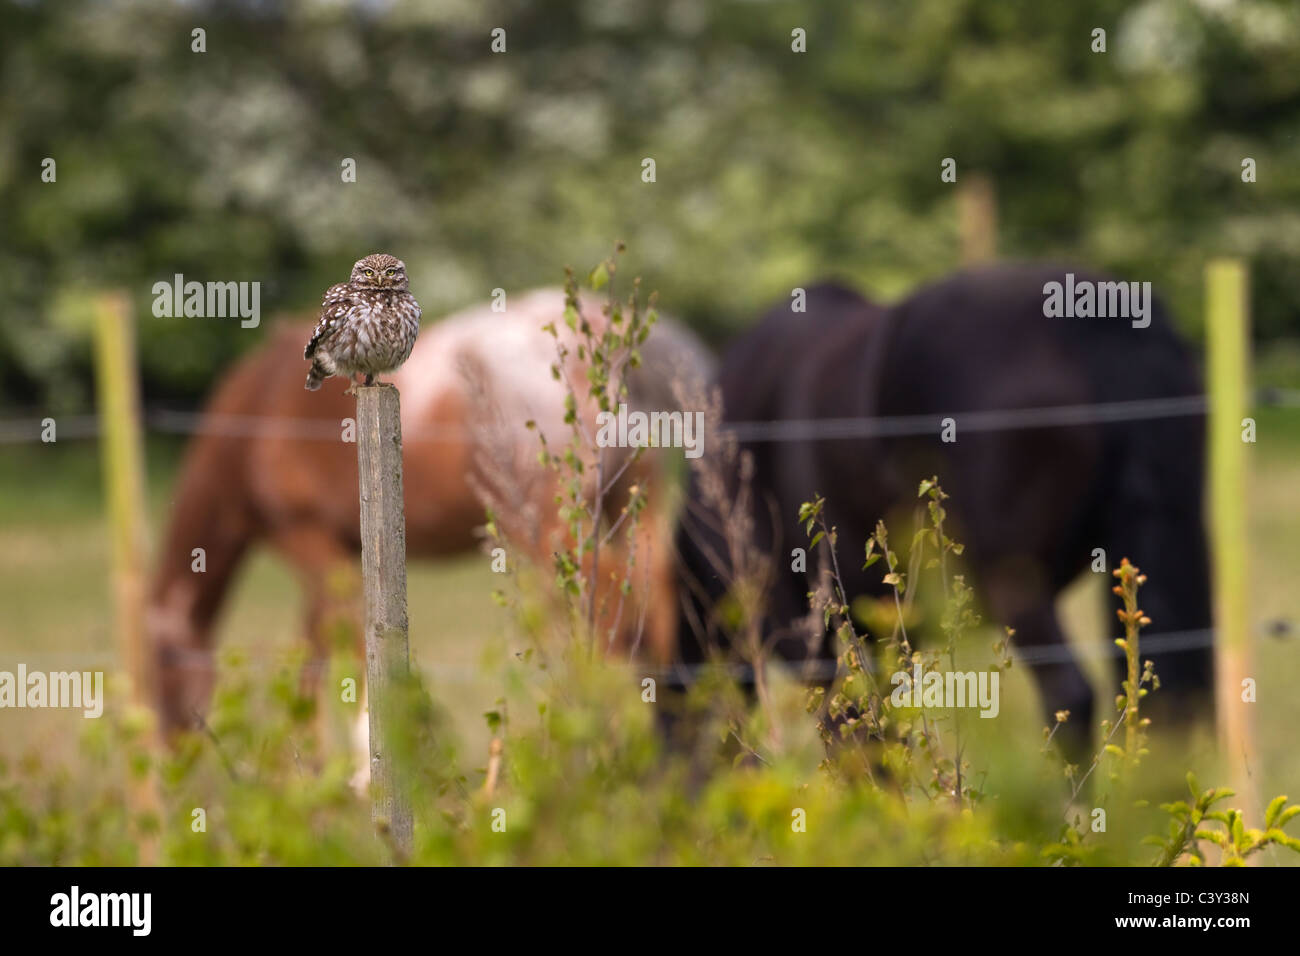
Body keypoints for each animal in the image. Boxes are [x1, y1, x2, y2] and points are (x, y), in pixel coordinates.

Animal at [147, 291, 717, 738]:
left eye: (163, 670)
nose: (172, 745)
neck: (258, 411)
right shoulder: (340, 546)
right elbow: (315, 653)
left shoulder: (306, 537)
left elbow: (343, 646)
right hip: (633, 508)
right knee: (655, 606)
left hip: (553, 530)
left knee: (609, 621)